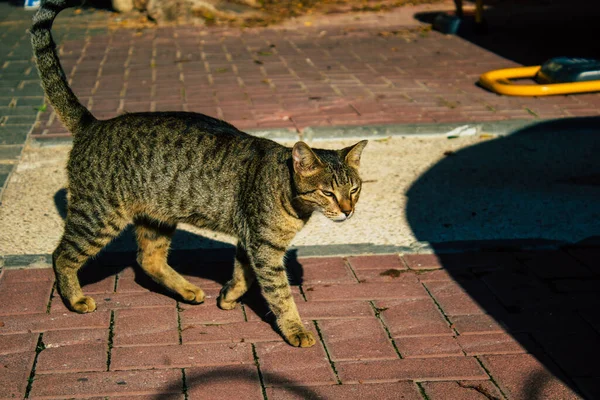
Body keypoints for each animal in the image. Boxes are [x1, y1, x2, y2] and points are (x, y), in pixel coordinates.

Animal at [32, 0, 368, 346]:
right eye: (328, 192)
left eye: (354, 190)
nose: (348, 210)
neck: (287, 193)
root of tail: (93, 124)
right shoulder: (263, 246)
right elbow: (280, 294)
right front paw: (296, 329)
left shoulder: (250, 241)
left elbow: (243, 274)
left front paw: (229, 297)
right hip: (98, 217)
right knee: (61, 255)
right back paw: (75, 299)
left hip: (157, 218)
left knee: (148, 259)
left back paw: (188, 290)